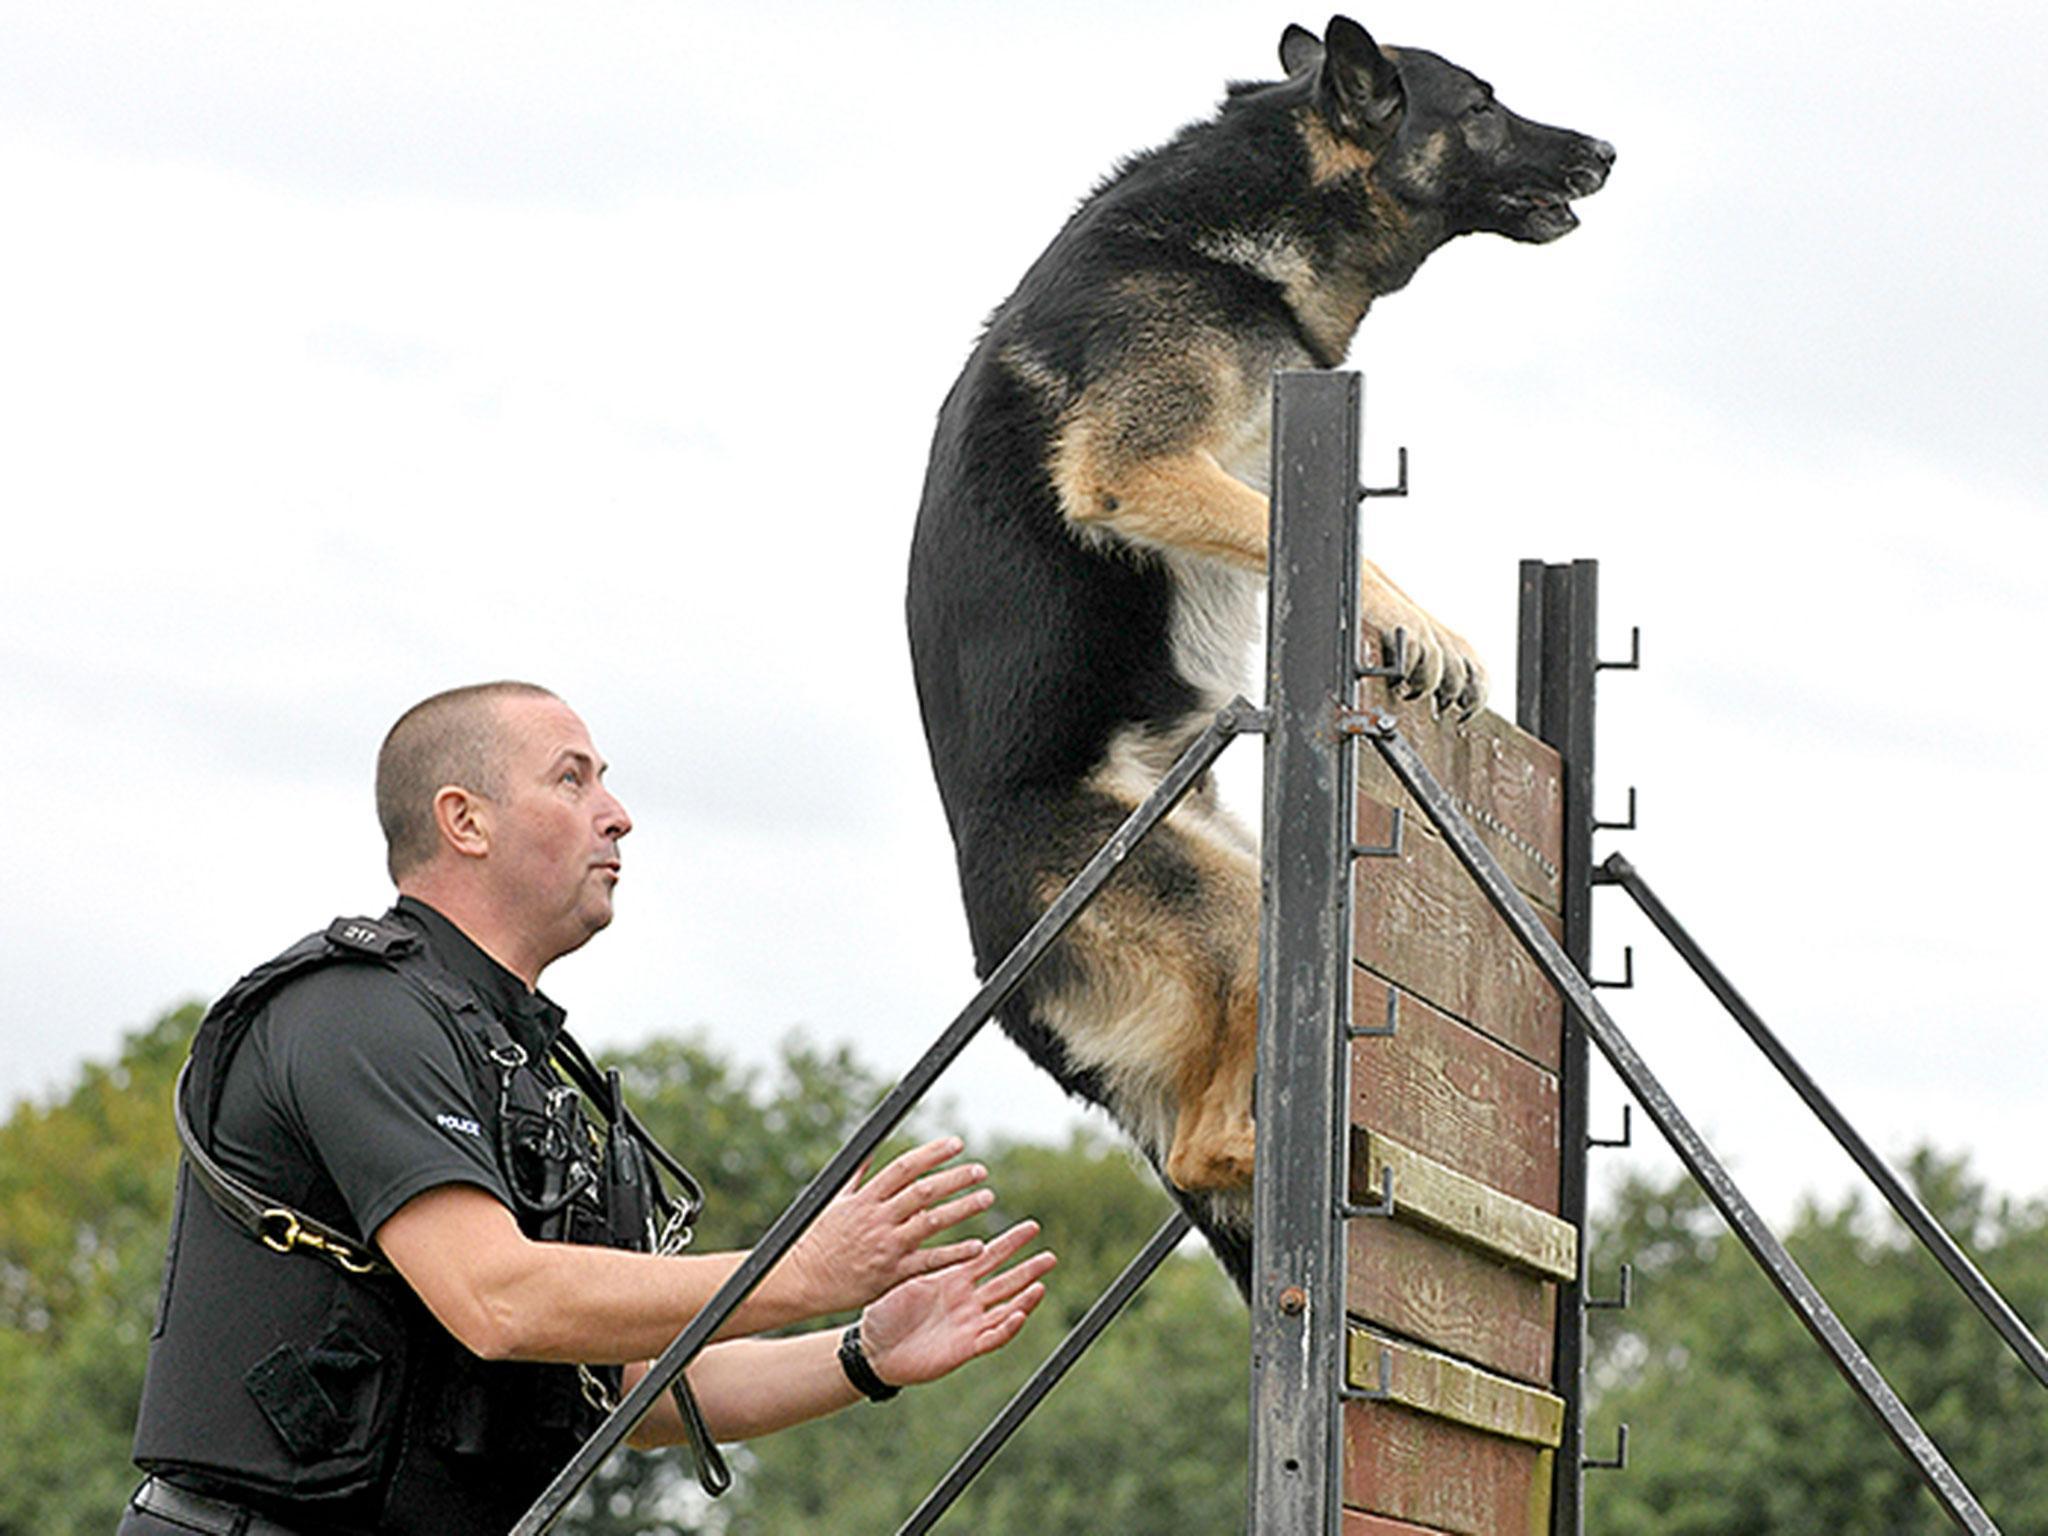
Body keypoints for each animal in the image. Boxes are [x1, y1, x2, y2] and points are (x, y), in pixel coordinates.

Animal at [913, 15, 1613, 1302]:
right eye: (1482, 107)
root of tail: (1010, 983)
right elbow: (1348, 541)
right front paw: (1421, 627)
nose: (1604, 151)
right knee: (1201, 1141)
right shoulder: (1141, 466)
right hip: (1231, 909)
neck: (1235, 239)